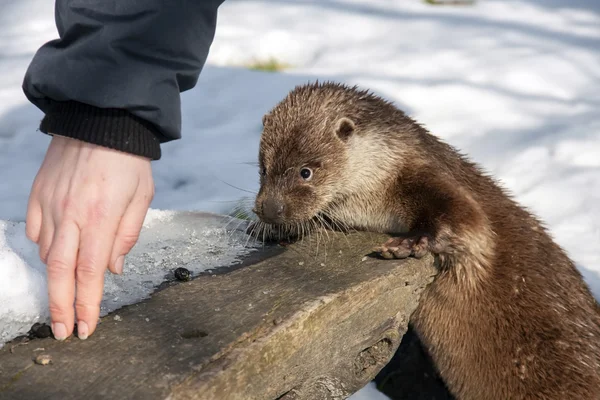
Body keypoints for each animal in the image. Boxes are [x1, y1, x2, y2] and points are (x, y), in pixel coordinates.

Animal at [252, 82, 600, 400]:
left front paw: (406, 245)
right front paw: (272, 230)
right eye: (263, 168)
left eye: (305, 171)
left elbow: (468, 222)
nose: (270, 209)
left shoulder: (428, 177)